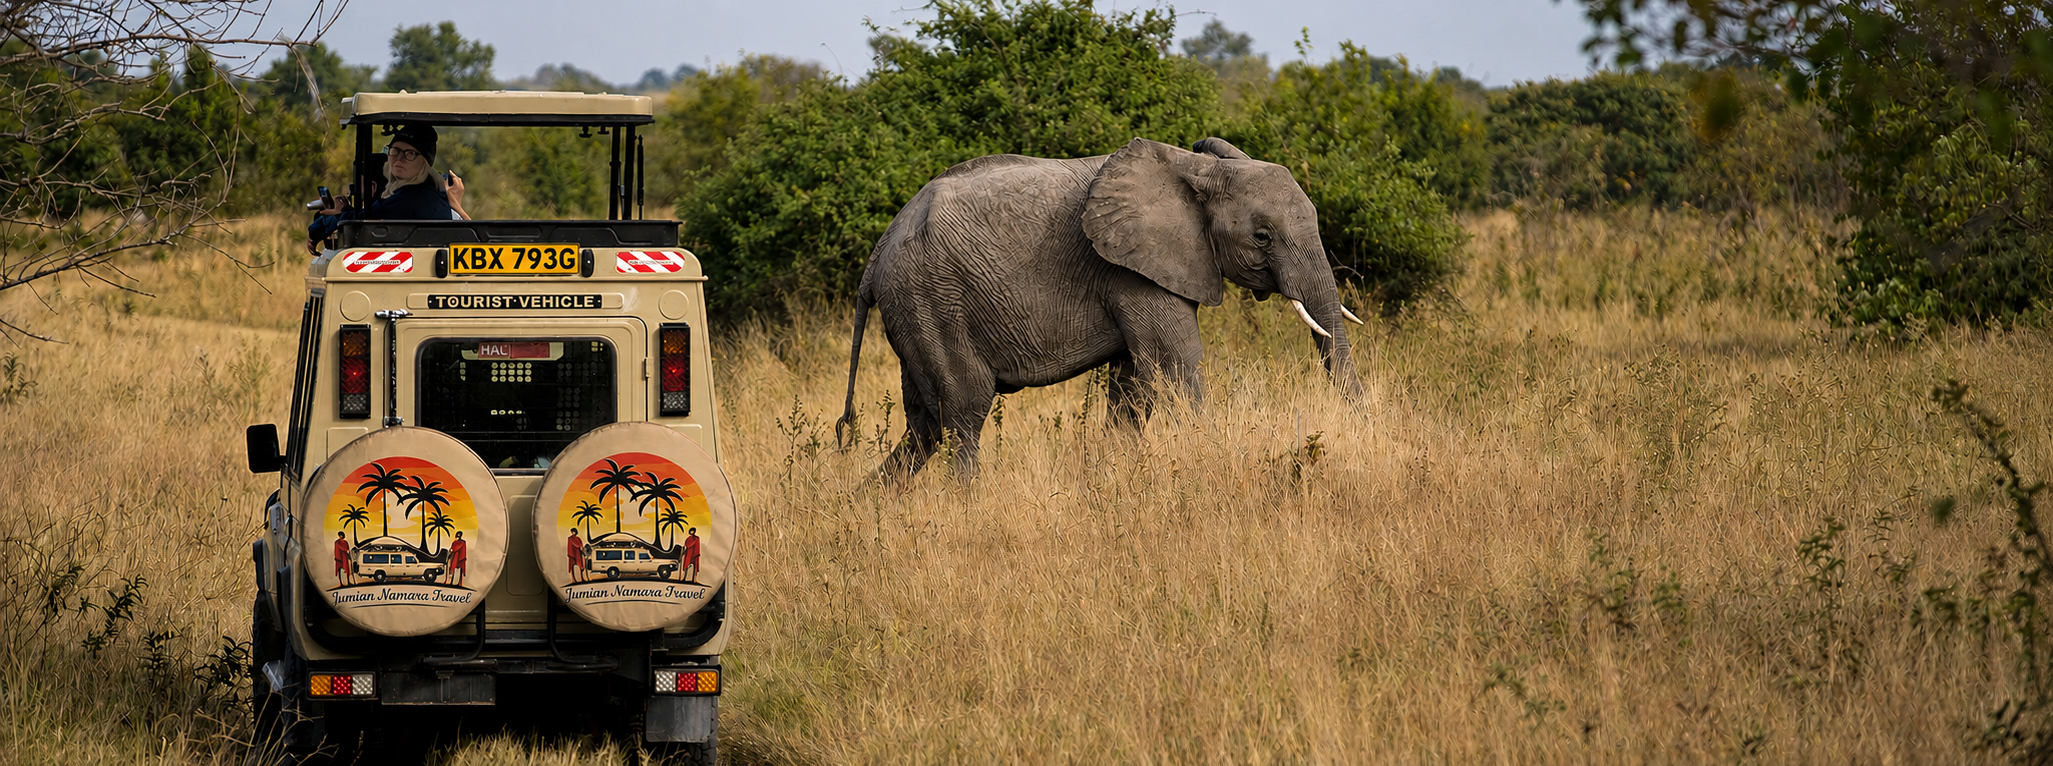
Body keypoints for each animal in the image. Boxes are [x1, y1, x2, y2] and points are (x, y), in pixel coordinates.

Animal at [833, 136, 1366, 480]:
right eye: (1262, 237)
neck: (1193, 169)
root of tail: (877, 254)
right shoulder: (1130, 270)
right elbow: (1175, 370)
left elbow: (1134, 386)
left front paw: (1112, 479)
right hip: (933, 300)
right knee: (962, 412)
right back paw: (966, 504)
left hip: (917, 310)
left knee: (924, 425)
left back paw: (866, 506)